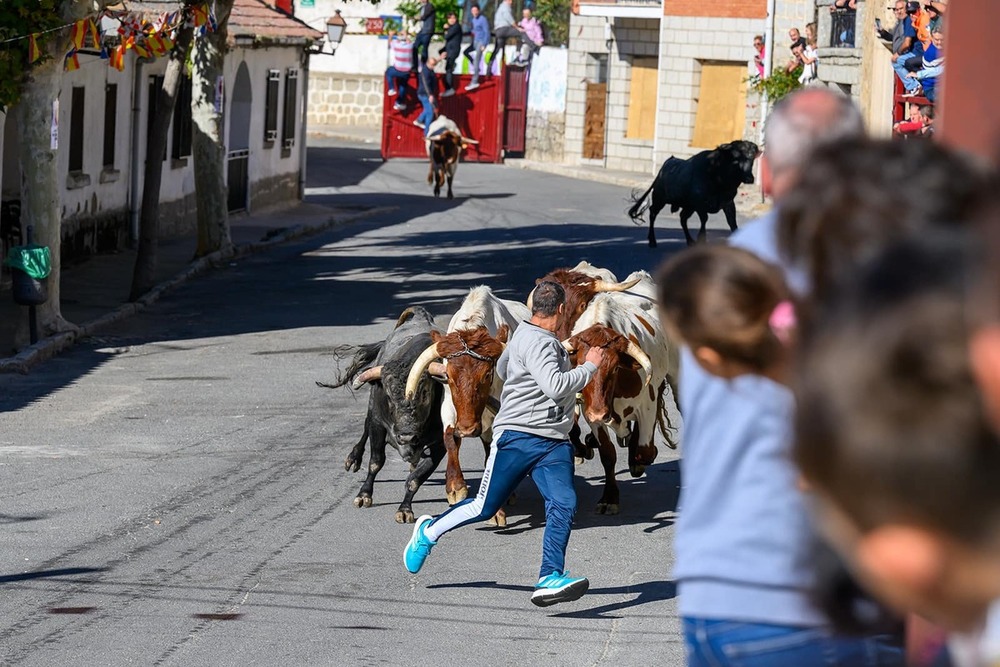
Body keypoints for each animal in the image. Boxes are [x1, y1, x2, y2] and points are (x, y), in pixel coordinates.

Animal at [320, 310, 446, 528]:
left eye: (425, 394)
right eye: (388, 396)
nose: (406, 436)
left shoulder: (442, 442)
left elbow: (416, 478)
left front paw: (405, 509)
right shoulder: (378, 425)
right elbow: (376, 462)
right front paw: (363, 496)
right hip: (372, 412)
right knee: (364, 428)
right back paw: (353, 458)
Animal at [406, 284, 532, 524]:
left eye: (487, 375)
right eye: (449, 377)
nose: (467, 429)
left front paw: (497, 511)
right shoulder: (449, 407)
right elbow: (450, 439)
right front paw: (456, 488)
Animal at [568, 272, 684, 516]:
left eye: (614, 369)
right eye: (580, 367)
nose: (599, 412)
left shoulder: (647, 403)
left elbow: (644, 451)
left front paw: (638, 459)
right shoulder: (591, 413)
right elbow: (607, 454)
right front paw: (609, 497)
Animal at [628, 141, 760, 248]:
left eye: (752, 160)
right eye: (735, 159)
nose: (750, 178)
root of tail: (667, 163)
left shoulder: (728, 203)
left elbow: (732, 223)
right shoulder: (700, 204)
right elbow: (704, 220)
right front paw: (702, 240)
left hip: (687, 206)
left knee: (682, 218)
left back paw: (690, 241)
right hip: (659, 198)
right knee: (653, 213)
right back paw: (652, 241)